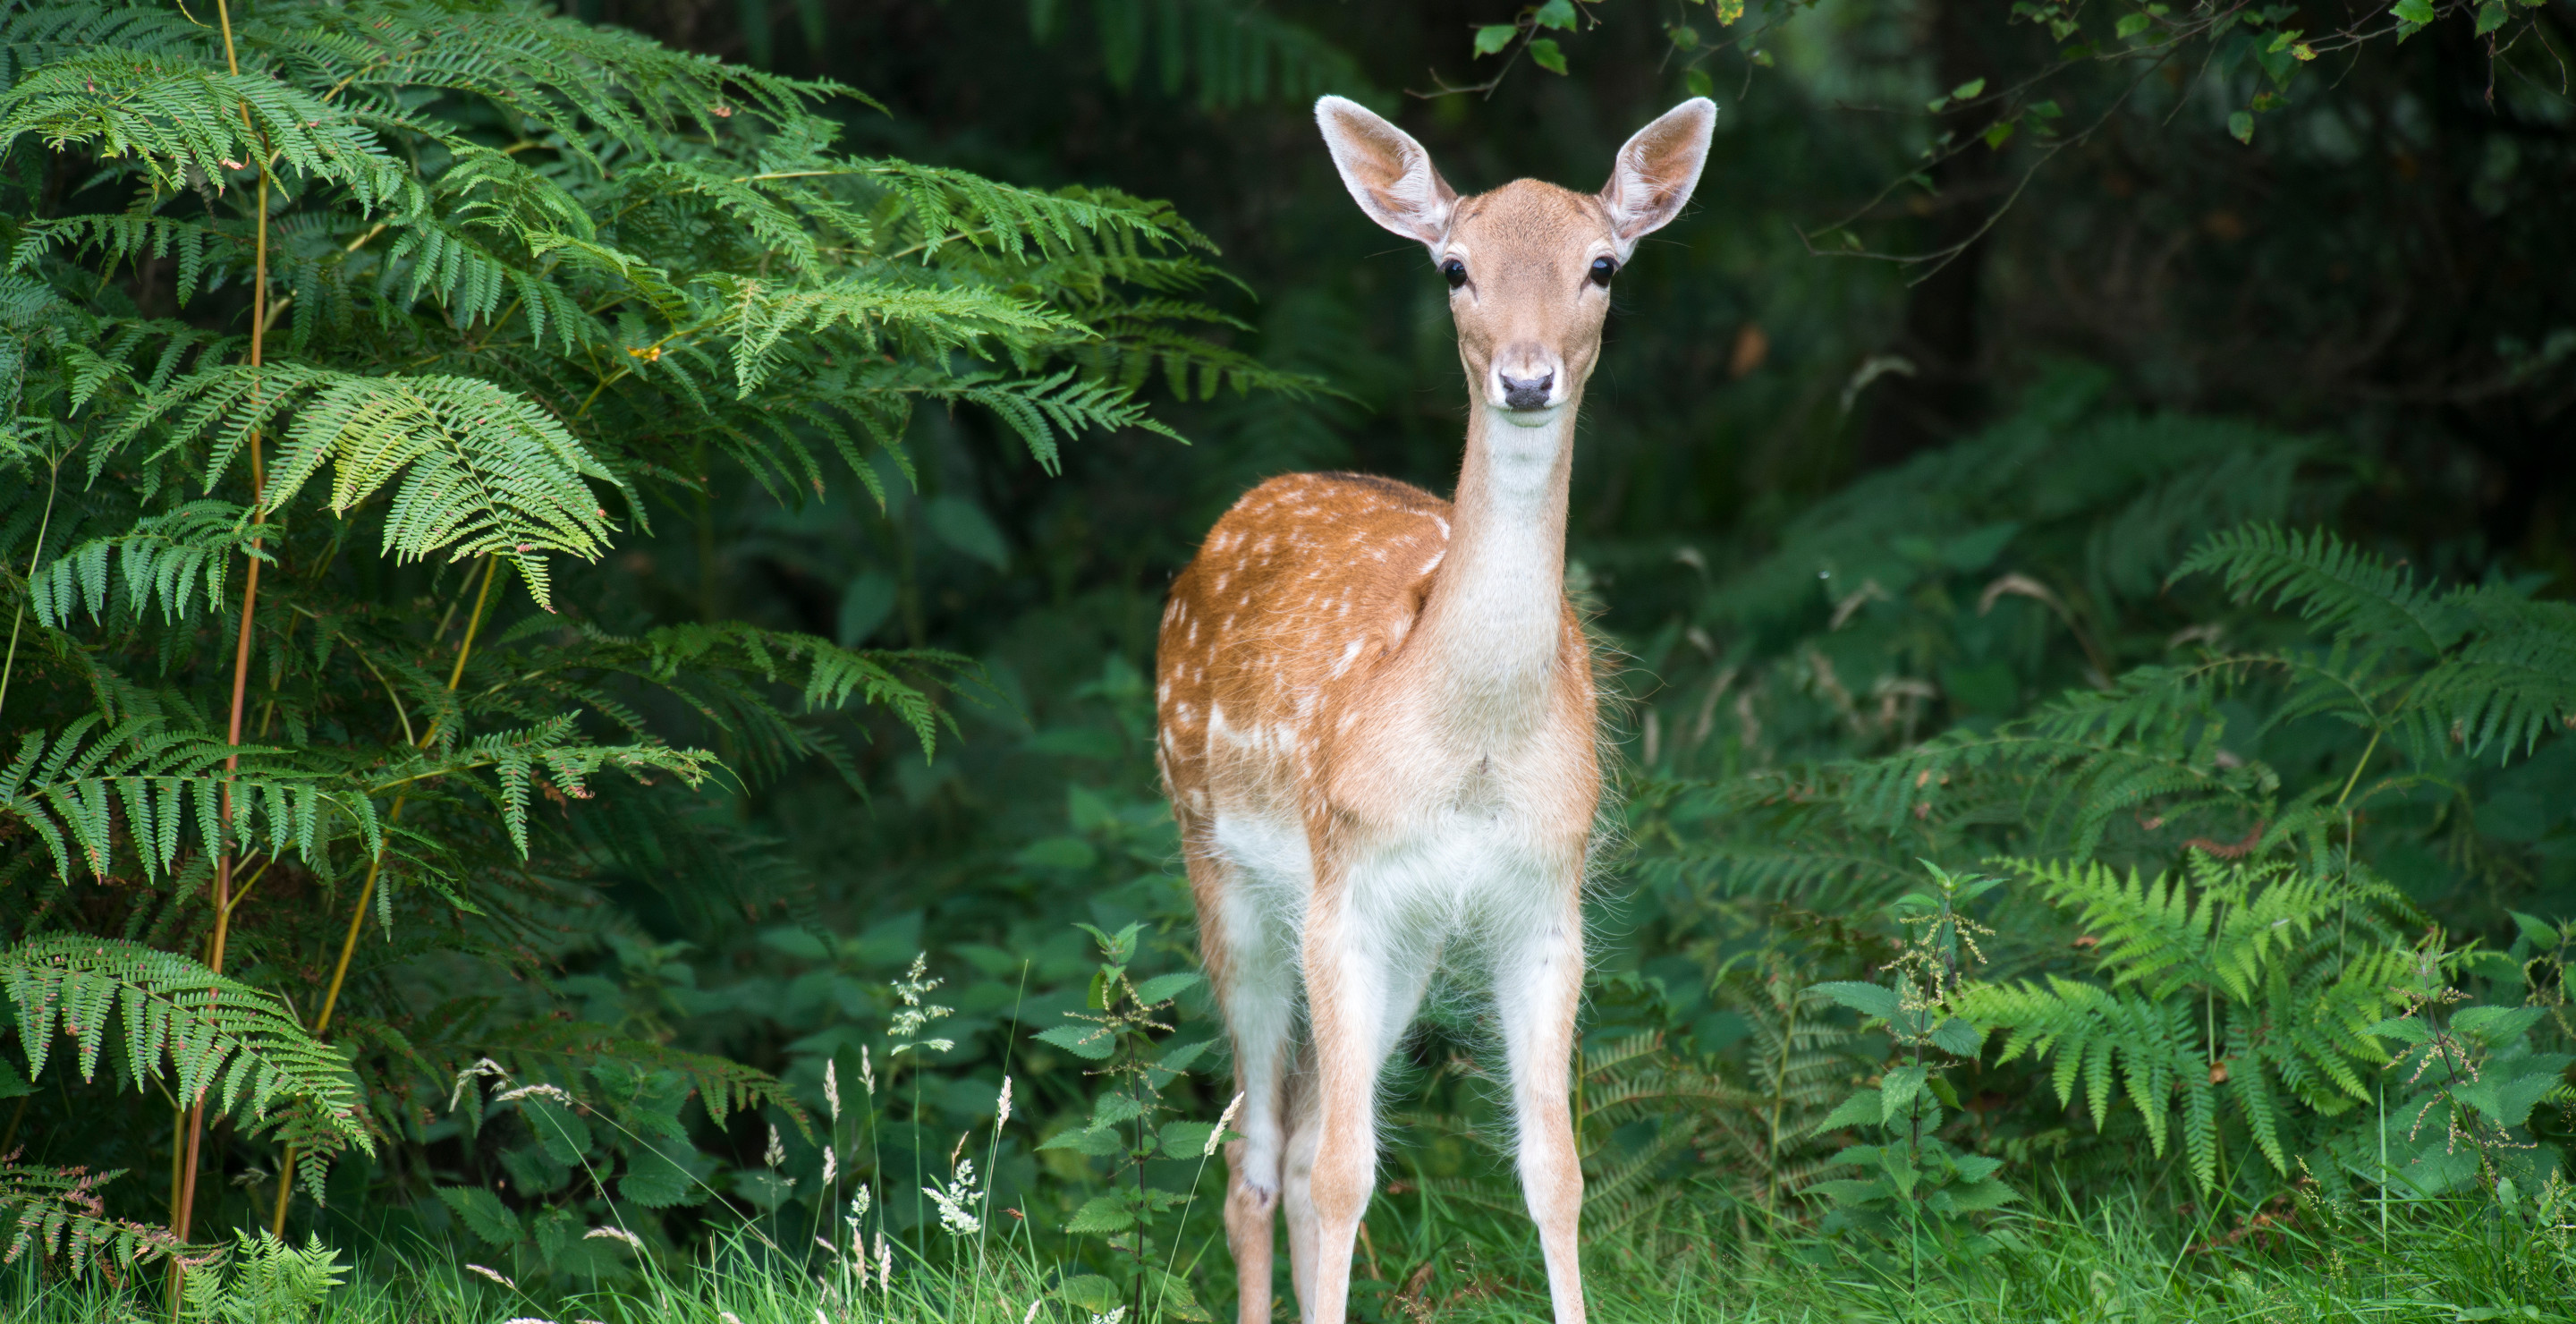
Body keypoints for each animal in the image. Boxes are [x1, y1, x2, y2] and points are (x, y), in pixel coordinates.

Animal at [1159, 95, 1720, 1319]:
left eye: (1602, 264)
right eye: (1455, 267)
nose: (1526, 377)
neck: (1471, 745)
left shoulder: (1543, 896)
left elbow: (1556, 1170)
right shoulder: (1344, 881)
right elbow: (1342, 1174)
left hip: (1410, 940)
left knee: (1304, 1136)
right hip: (1219, 865)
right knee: (1258, 1158)